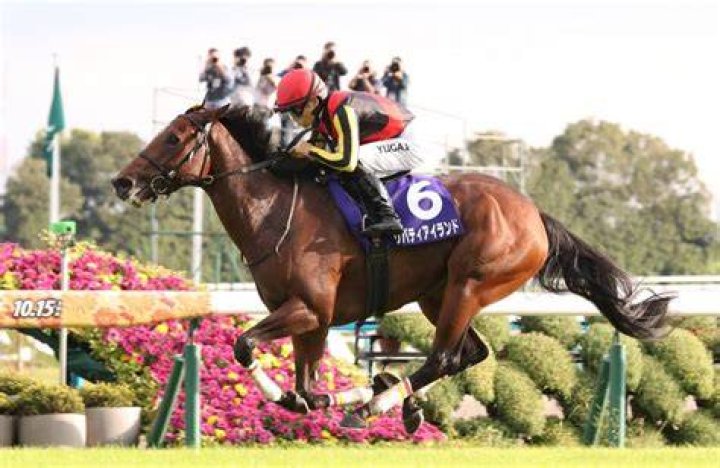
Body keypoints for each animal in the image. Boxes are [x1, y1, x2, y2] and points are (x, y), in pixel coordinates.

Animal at [112, 105, 672, 432]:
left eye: (173, 137)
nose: (123, 182)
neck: (274, 208)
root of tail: (534, 213)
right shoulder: (311, 318)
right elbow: (305, 382)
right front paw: (309, 399)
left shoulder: (309, 308)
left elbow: (244, 344)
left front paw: (305, 397)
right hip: (437, 294)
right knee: (469, 353)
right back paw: (394, 399)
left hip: (471, 283)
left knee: (445, 356)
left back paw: (375, 402)